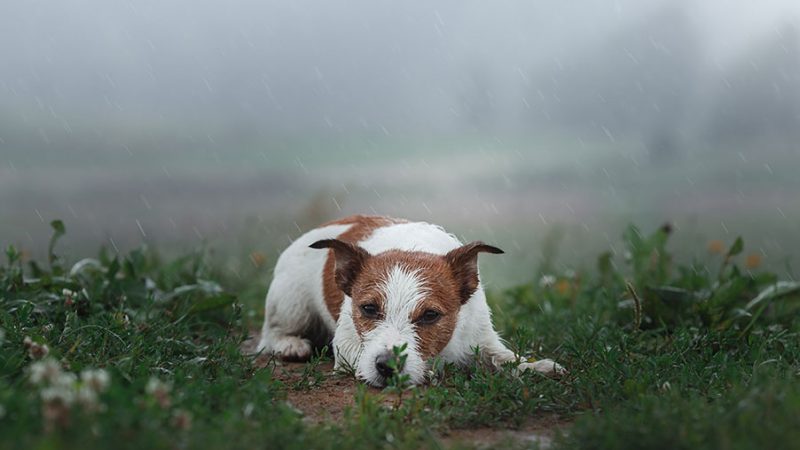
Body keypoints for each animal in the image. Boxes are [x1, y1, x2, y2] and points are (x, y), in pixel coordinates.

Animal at [256, 215, 564, 386]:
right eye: (369, 308)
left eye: (430, 315)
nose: (388, 366)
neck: (413, 247)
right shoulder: (346, 345)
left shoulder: (481, 337)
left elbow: (503, 357)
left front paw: (533, 366)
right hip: (291, 304)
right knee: (271, 332)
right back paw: (290, 344)